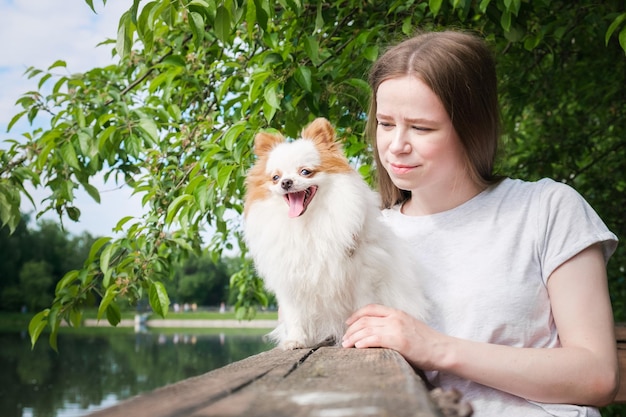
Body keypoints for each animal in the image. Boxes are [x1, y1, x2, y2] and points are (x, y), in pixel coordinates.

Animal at [241, 118, 426, 350]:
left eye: (305, 172)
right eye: (275, 177)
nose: (286, 182)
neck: (307, 223)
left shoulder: (364, 274)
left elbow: (363, 307)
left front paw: (361, 335)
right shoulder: (290, 280)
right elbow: (294, 315)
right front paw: (295, 340)